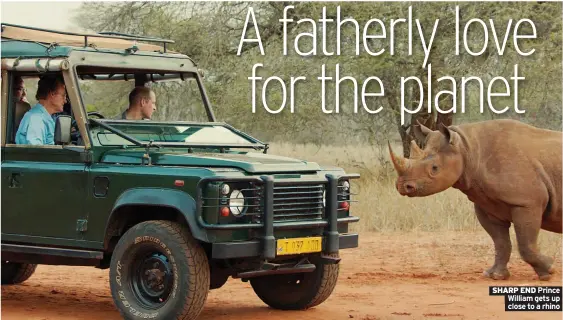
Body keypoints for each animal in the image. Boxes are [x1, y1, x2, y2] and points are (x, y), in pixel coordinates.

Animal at [390, 119, 560, 280]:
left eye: (434, 168)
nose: (403, 186)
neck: (466, 148)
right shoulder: (487, 204)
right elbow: (500, 242)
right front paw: (495, 275)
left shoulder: (526, 202)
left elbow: (526, 244)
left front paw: (549, 271)